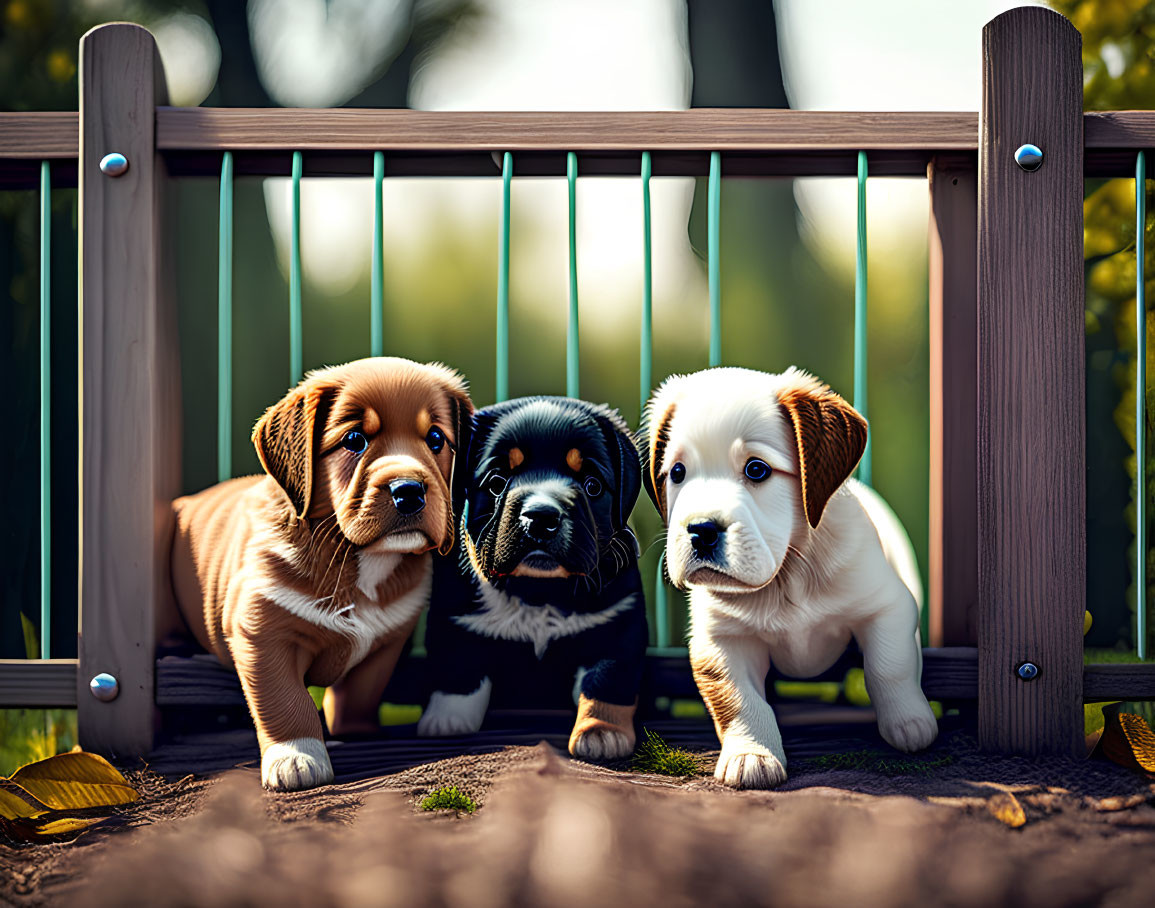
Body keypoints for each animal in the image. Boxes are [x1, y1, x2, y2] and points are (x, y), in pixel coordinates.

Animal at [170, 358, 468, 790]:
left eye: (435, 439)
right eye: (355, 440)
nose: (410, 490)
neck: (357, 558)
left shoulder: (387, 642)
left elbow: (360, 691)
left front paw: (355, 732)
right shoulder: (263, 633)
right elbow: (285, 701)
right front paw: (296, 757)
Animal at [418, 397, 651, 757]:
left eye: (592, 485)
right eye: (497, 482)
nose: (541, 517)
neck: (538, 592)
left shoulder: (620, 622)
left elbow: (606, 680)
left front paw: (601, 731)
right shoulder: (454, 613)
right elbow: (458, 668)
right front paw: (447, 720)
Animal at [642, 365, 937, 785]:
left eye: (756, 470)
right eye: (677, 473)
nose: (700, 530)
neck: (787, 576)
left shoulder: (888, 606)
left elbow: (888, 666)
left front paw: (909, 722)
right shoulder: (720, 641)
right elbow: (739, 699)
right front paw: (752, 753)